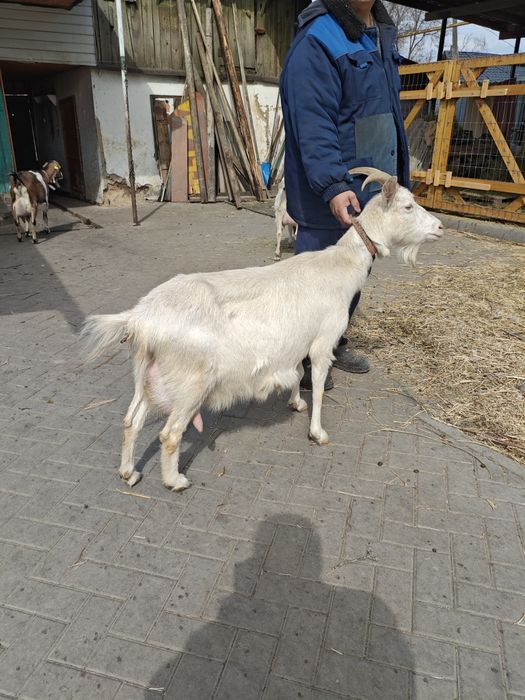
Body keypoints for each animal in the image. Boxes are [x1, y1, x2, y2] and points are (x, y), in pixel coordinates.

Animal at [82, 169, 443, 492]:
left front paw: (296, 403)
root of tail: (140, 318)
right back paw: (176, 481)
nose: (440, 227)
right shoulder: (322, 342)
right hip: (190, 382)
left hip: (148, 374)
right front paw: (317, 433)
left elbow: (298, 372)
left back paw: (129, 472)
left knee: (131, 421)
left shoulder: (296, 342)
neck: (340, 266)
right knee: (169, 435)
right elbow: (318, 386)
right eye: (407, 206)